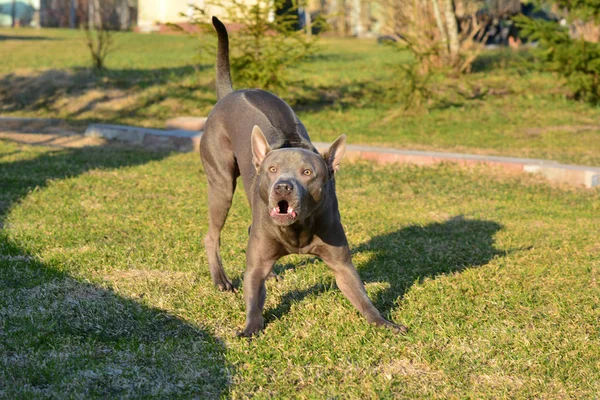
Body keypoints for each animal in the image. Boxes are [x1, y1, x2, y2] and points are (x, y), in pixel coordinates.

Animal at [202, 18, 408, 338]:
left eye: (308, 173)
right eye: (272, 170)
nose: (282, 187)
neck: (296, 229)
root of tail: (229, 94)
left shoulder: (342, 264)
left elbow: (362, 297)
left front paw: (383, 322)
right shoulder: (256, 265)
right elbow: (253, 297)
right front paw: (249, 328)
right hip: (221, 183)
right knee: (212, 234)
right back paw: (221, 280)